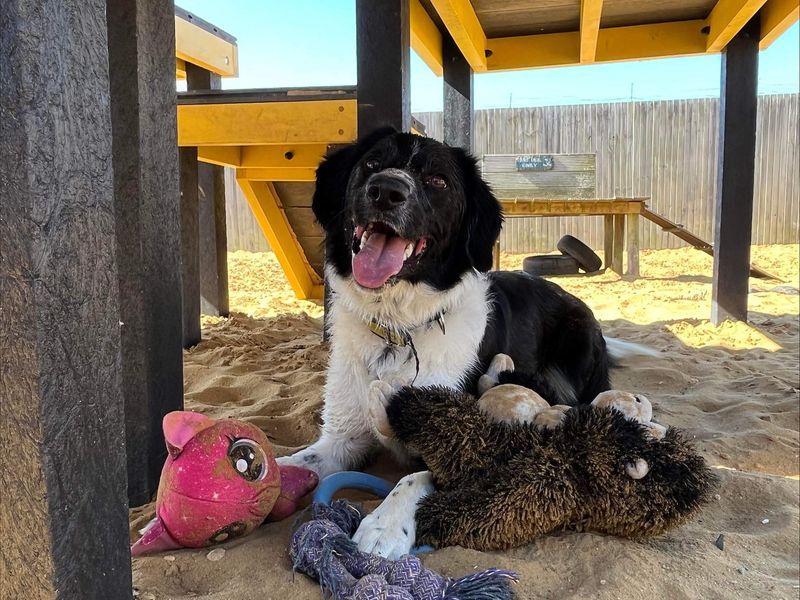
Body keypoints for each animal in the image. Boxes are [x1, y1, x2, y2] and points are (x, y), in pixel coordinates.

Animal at [278, 129, 648, 560]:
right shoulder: (341, 438)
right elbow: (299, 461)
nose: (385, 190)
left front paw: (384, 525)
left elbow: (418, 474)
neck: (400, 329)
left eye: (438, 181)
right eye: (371, 163)